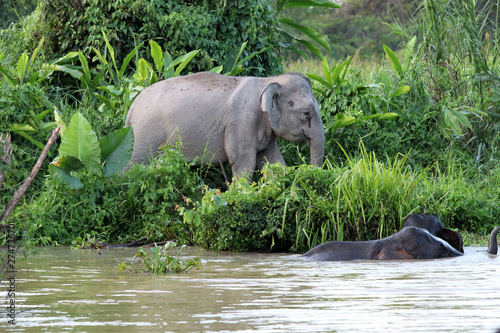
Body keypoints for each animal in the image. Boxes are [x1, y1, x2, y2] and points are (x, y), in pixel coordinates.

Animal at [124, 70, 324, 179]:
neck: (268, 80)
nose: (308, 172)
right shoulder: (242, 121)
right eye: (306, 114)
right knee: (131, 166)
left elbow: (272, 160)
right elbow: (244, 161)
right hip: (145, 136)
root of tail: (131, 108)